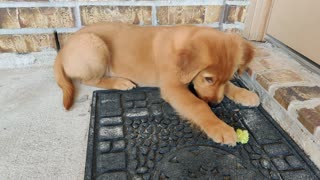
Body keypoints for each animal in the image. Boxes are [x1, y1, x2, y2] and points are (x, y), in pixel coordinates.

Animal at [54, 22, 260, 146]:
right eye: (208, 79)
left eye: (227, 77)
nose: (216, 103)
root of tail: (62, 51)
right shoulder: (173, 88)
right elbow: (198, 105)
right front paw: (220, 127)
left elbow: (229, 87)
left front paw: (245, 94)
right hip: (94, 45)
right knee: (90, 79)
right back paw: (120, 82)